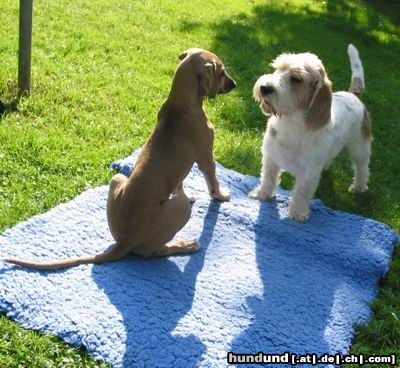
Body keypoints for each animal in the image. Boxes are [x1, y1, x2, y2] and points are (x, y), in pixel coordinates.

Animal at [4, 47, 236, 268]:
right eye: (222, 72)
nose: (234, 84)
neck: (180, 103)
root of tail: (124, 242)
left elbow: (179, 182)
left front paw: (187, 192)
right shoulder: (205, 156)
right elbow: (212, 179)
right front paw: (220, 195)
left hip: (117, 179)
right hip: (180, 211)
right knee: (153, 252)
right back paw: (184, 245)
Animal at [250, 43, 372, 221]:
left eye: (296, 78)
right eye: (278, 68)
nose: (264, 88)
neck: (291, 123)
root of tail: (353, 95)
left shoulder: (309, 173)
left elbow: (301, 193)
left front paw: (297, 213)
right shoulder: (271, 158)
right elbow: (268, 178)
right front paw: (262, 194)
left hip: (360, 147)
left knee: (362, 167)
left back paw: (359, 187)